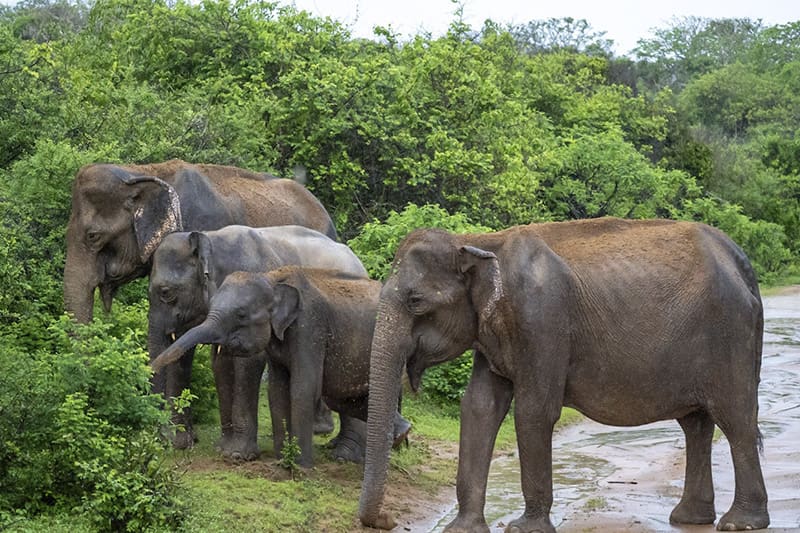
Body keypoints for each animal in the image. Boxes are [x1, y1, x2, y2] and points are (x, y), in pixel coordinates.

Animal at [148, 225, 368, 458]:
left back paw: (344, 453)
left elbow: (248, 363)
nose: (165, 443)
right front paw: (217, 448)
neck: (211, 238)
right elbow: (219, 363)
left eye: (166, 292)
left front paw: (238, 456)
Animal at [150, 267, 412, 467]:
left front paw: (300, 467)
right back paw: (399, 435)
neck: (273, 278)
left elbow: (303, 388)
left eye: (241, 314)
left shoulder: (309, 327)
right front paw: (281, 459)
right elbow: (276, 390)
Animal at [359, 217, 768, 533]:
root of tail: (740, 260)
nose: (388, 521)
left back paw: (740, 523)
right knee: (697, 424)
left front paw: (524, 529)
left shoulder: (542, 320)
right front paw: (461, 529)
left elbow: (533, 410)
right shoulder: (491, 332)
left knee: (735, 419)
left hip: (730, 333)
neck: (479, 241)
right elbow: (479, 407)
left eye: (415, 301)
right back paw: (690, 518)